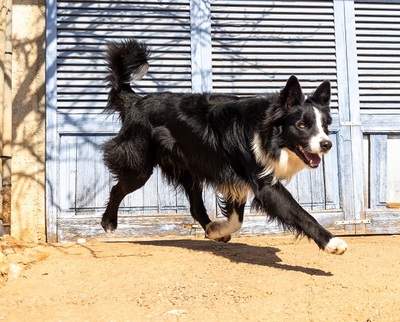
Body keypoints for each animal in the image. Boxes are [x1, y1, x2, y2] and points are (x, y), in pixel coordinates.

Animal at [102, 39, 346, 254]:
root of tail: (135, 102)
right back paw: (108, 222)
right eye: (302, 125)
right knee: (118, 188)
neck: (266, 131)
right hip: (139, 162)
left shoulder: (236, 178)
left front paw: (216, 231)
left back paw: (210, 227)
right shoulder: (261, 181)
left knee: (195, 205)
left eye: (324, 125)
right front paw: (332, 242)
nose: (327, 144)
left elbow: (237, 219)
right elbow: (297, 211)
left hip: (187, 164)